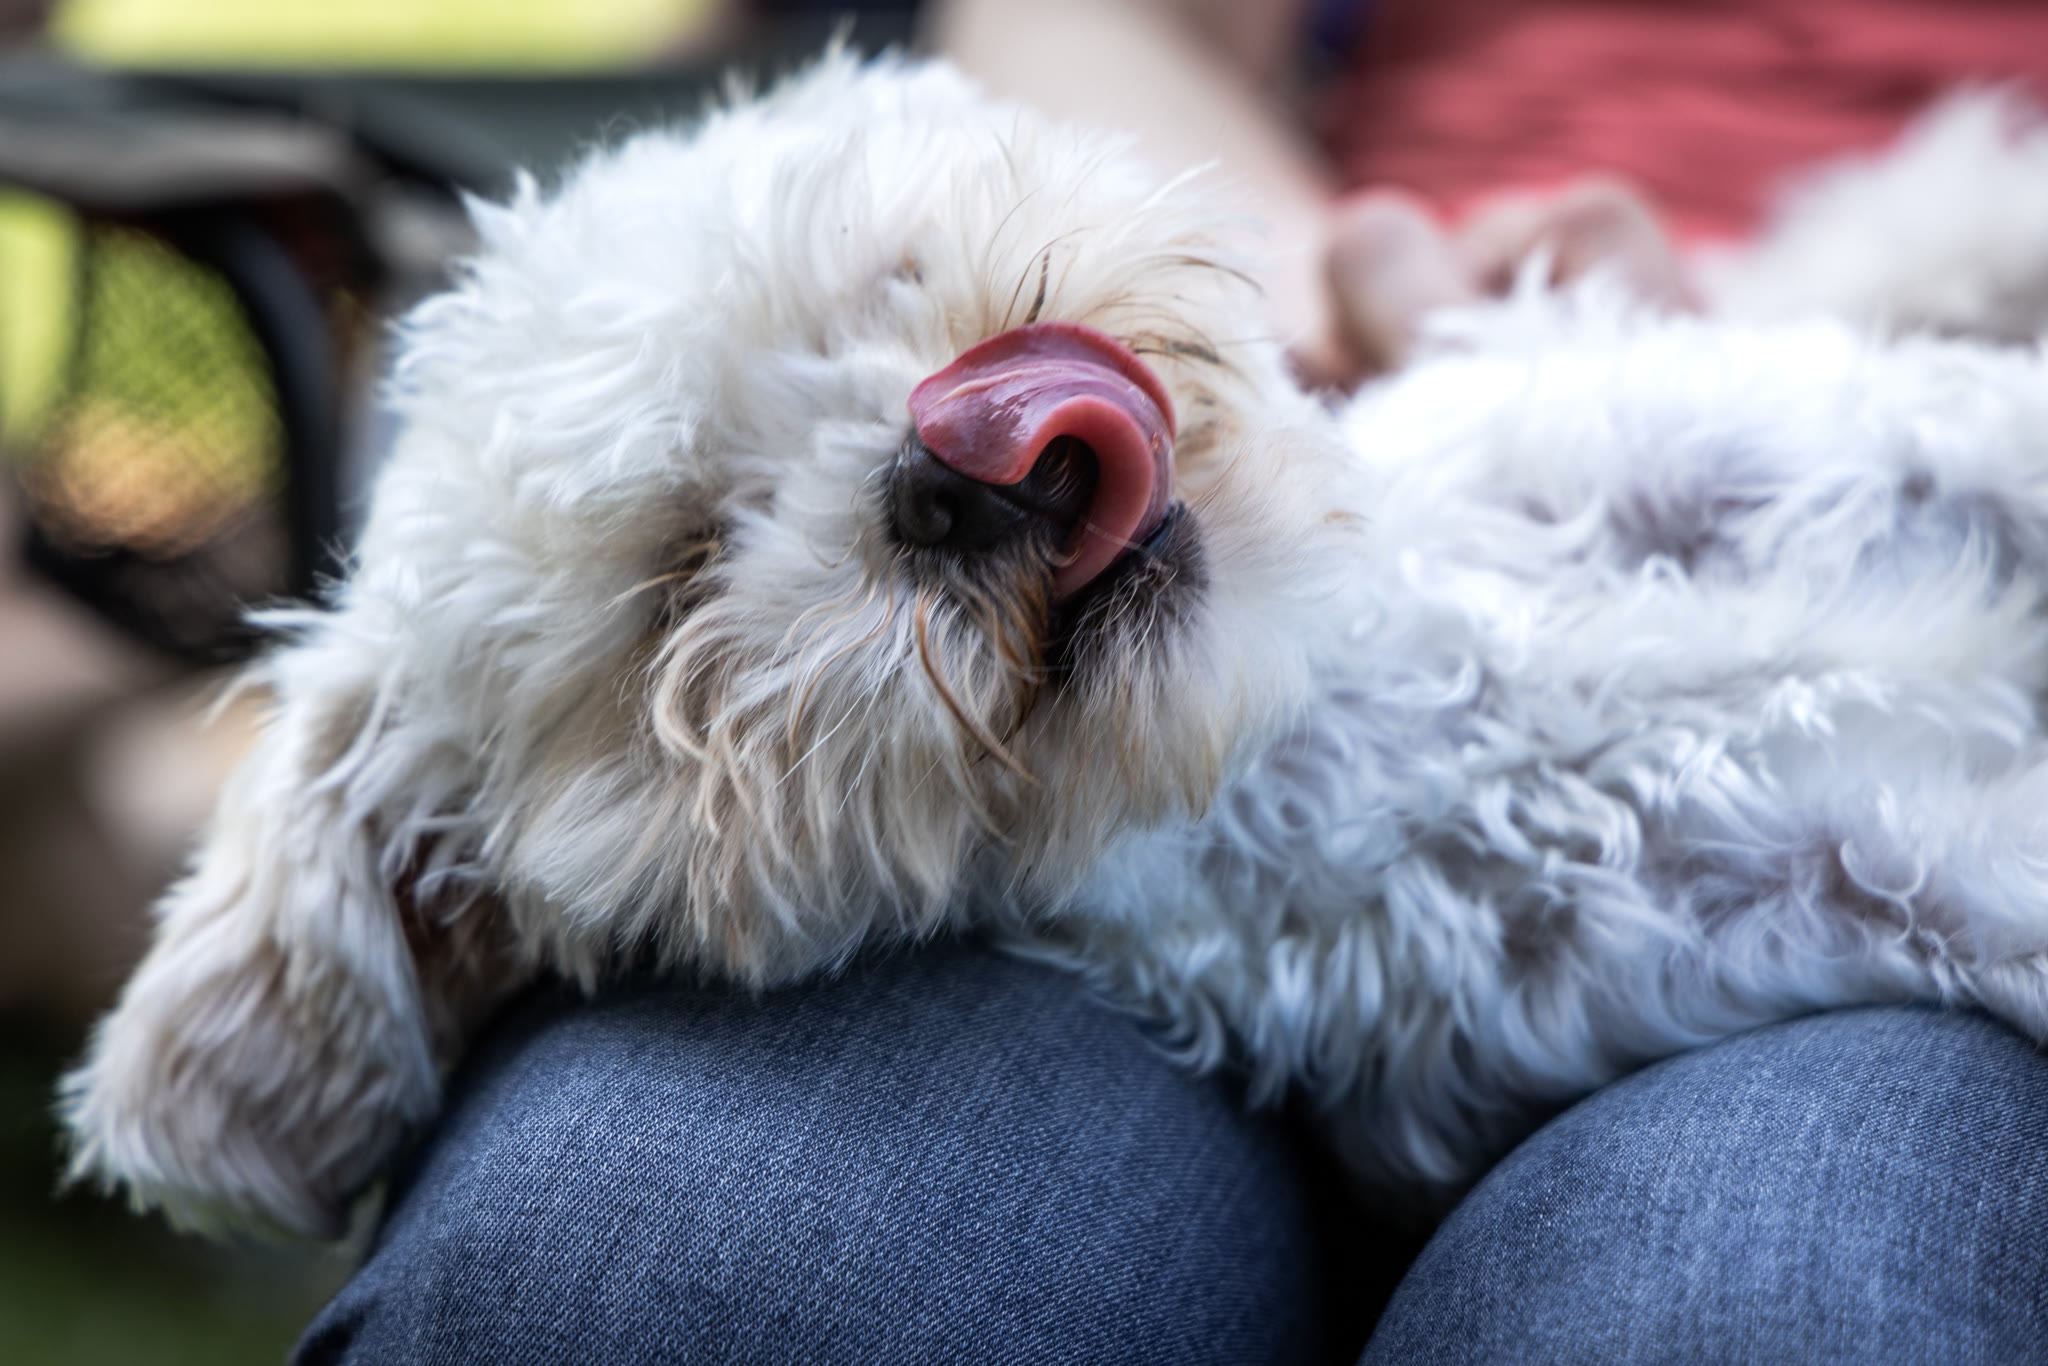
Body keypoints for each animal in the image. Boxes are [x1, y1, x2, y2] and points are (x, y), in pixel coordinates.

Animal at [59, 52, 2048, 1237]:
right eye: (680, 573)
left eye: (878, 284)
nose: (954, 464)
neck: (1330, 709)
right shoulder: (1841, 858)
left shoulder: (1734, 439)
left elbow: (1960, 431)